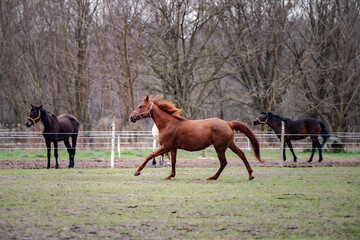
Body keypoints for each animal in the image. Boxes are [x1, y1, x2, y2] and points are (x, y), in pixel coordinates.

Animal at [129, 95, 262, 180]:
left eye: (141, 106)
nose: (131, 117)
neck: (168, 124)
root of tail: (228, 123)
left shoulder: (165, 146)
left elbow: (150, 156)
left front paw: (137, 171)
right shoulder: (173, 148)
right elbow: (173, 162)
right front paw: (170, 175)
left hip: (220, 147)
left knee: (223, 162)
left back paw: (213, 177)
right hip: (230, 144)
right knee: (241, 155)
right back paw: (250, 175)